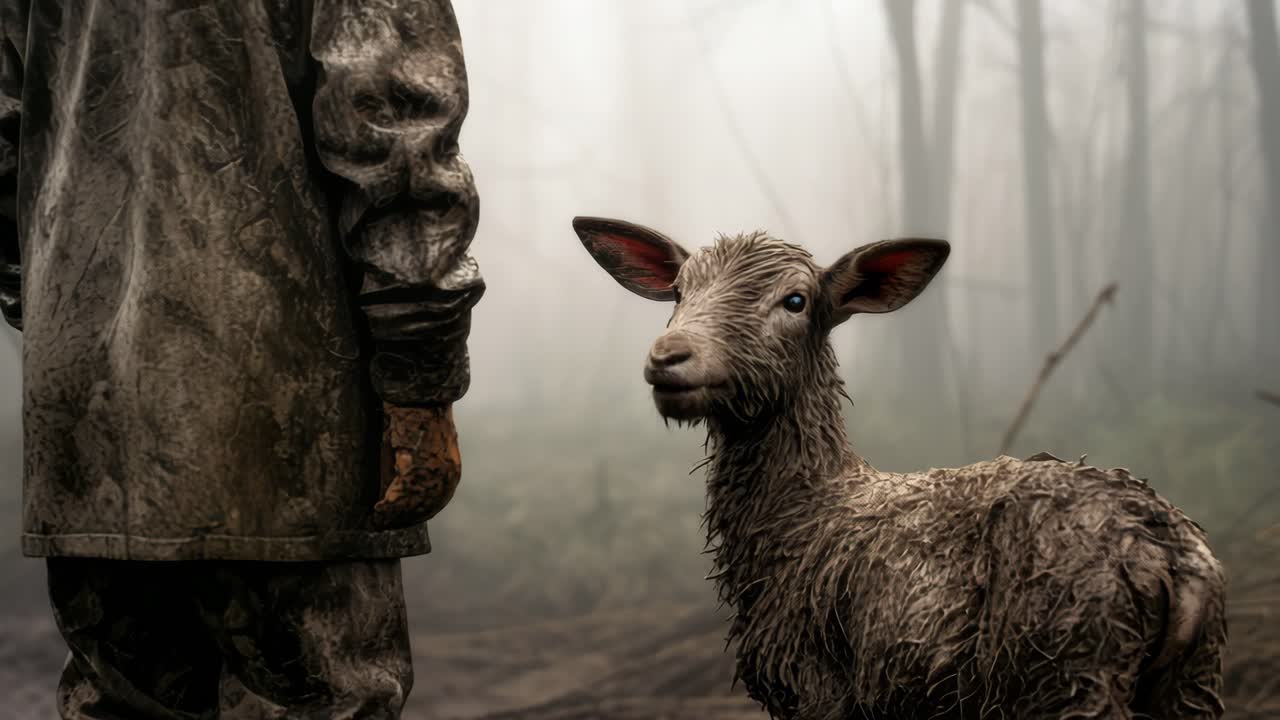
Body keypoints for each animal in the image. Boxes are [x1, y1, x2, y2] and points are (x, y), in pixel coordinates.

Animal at [572, 216, 1226, 719]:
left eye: (795, 300)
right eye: (680, 290)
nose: (668, 357)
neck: (802, 521)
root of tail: (1169, 555)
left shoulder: (816, 684)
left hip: (1066, 665)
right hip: (1192, 682)